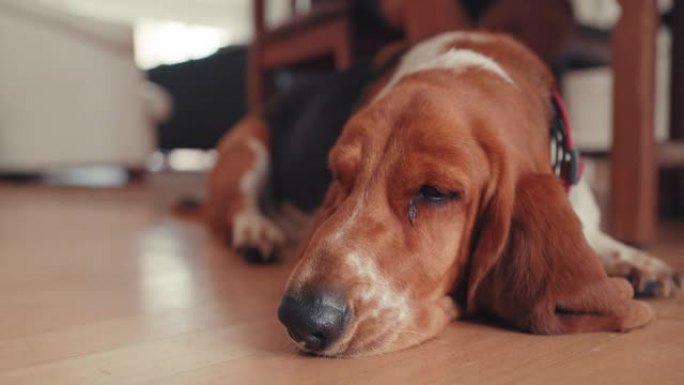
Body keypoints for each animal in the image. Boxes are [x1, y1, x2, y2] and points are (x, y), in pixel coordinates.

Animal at [202, 31, 680, 356]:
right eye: (339, 175)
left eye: (435, 193)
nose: (301, 318)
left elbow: (597, 236)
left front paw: (641, 262)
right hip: (248, 147)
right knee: (238, 207)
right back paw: (257, 233)